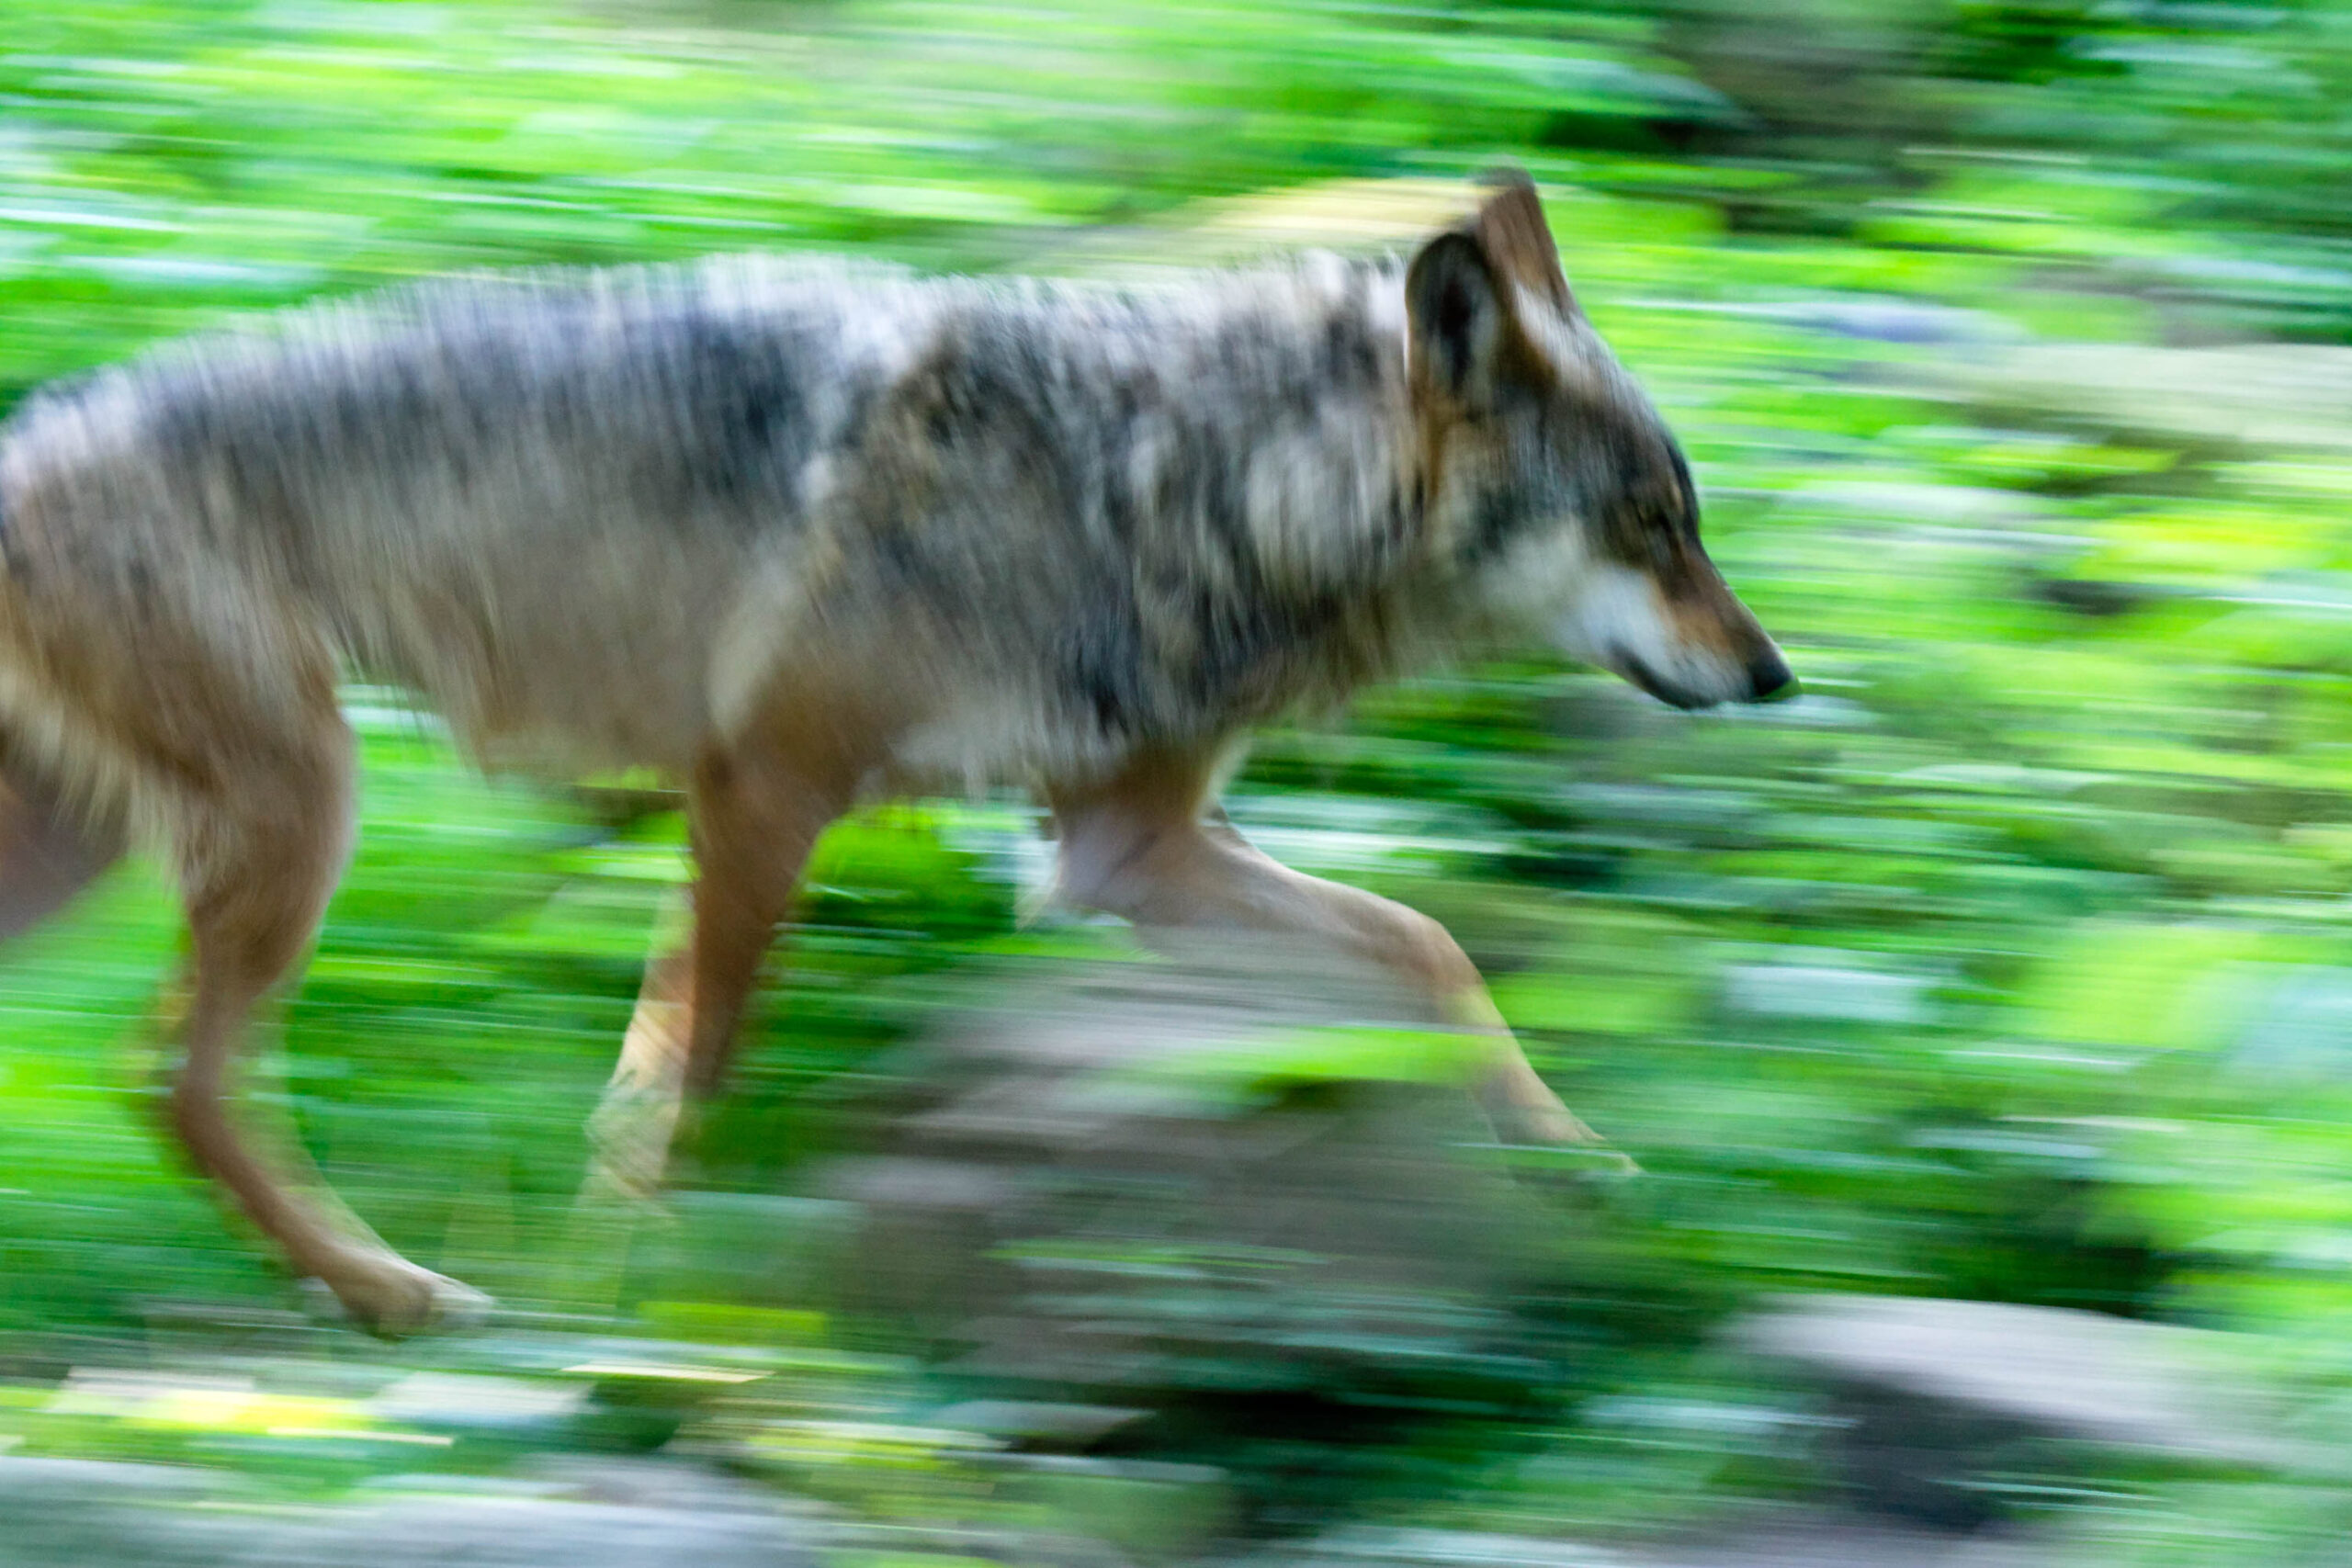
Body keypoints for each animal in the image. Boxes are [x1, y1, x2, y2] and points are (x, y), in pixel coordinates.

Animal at [0, 171, 1789, 1335]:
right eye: (1654, 526)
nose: (1773, 675)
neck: (1177, 481)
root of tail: (34, 429)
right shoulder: (761, 795)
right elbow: (693, 1079)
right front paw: (647, 1283)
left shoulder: (1122, 851)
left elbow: (1429, 946)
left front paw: (1572, 1154)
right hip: (307, 816)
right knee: (181, 1078)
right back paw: (393, 1289)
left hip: (123, 853)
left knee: (162, 1077)